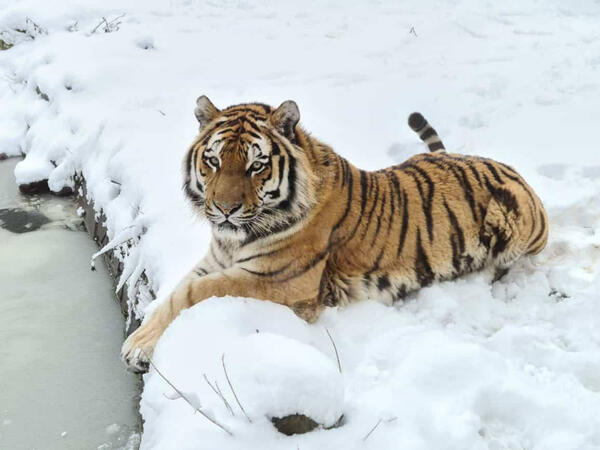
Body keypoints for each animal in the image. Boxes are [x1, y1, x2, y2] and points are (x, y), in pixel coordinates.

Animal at [122, 96, 548, 372]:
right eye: (212, 161)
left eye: (256, 165)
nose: (225, 209)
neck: (232, 239)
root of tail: (511, 170)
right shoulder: (215, 260)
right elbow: (175, 293)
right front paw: (144, 331)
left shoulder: (279, 281)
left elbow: (196, 293)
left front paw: (137, 347)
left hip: (515, 227)